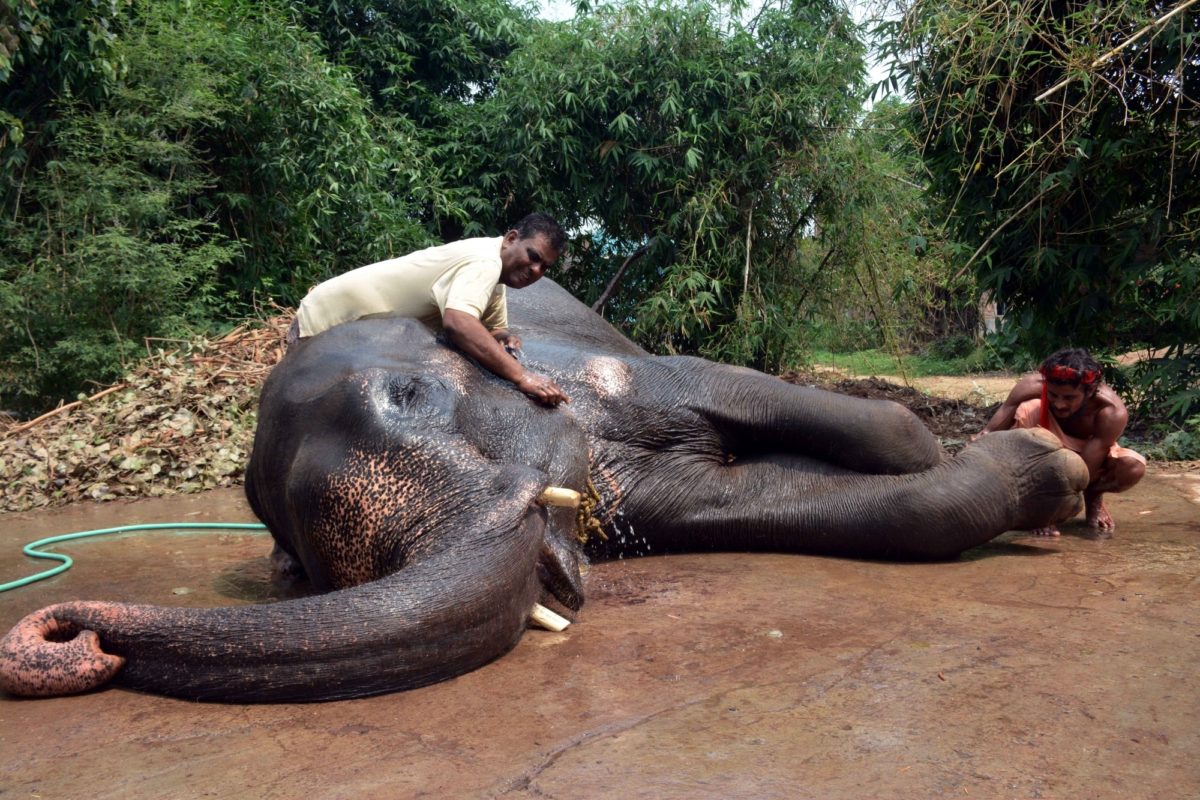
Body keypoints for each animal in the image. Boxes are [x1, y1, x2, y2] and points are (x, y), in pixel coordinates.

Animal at [0, 280, 1089, 700]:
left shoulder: (606, 370)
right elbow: (749, 497)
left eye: (409, 394)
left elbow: (815, 410)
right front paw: (1044, 474)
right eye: (302, 560)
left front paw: (1051, 464)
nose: (66, 633)